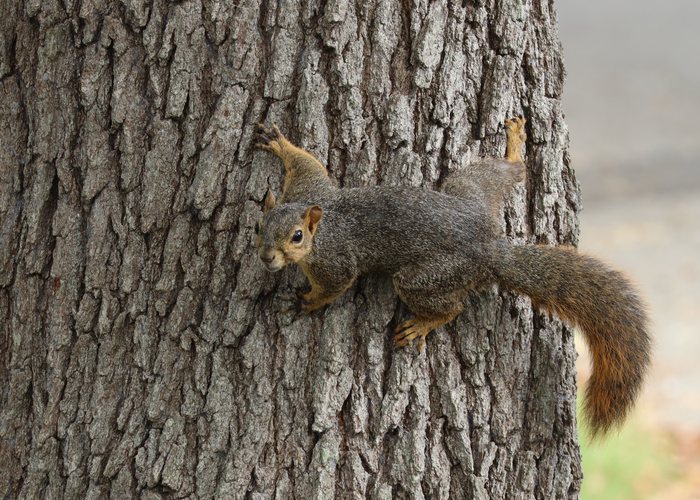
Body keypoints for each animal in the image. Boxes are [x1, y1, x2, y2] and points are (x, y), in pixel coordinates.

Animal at [252, 118, 651, 437]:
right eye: (258, 227)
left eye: (297, 237)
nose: (267, 258)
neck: (322, 231)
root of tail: (487, 245)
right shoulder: (307, 191)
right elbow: (307, 162)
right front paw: (278, 141)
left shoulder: (334, 260)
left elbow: (334, 286)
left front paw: (306, 301)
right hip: (468, 189)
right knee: (510, 172)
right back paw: (514, 145)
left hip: (425, 277)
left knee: (452, 306)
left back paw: (423, 323)